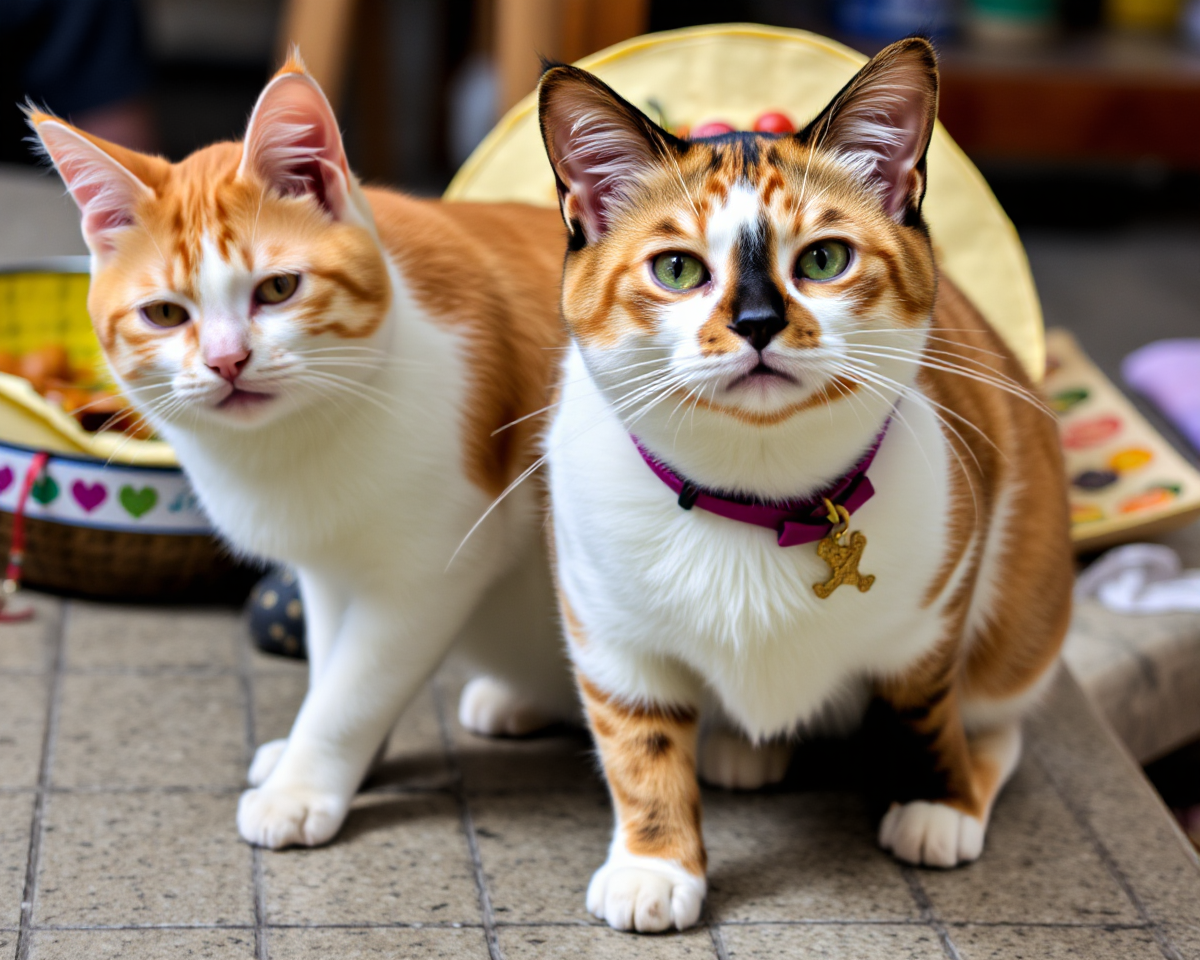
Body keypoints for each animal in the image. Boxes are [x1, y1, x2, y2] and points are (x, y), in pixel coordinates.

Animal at [35, 56, 578, 849]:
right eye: (165, 313)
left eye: (279, 289)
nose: (227, 361)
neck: (296, 443)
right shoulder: (326, 566)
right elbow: (330, 659)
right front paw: (328, 758)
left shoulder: (436, 565)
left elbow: (356, 684)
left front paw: (304, 781)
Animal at [535, 41, 1070, 936]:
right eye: (676, 268)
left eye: (823, 259)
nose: (756, 323)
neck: (757, 501)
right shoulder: (608, 627)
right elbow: (638, 742)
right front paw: (654, 865)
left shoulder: (938, 599)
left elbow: (924, 704)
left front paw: (935, 798)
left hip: (1019, 623)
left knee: (999, 718)